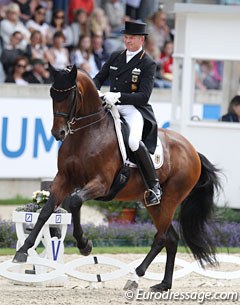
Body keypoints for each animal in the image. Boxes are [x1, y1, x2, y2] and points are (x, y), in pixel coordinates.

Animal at [12, 65, 220, 290]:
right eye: (52, 94)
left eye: (69, 95)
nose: (57, 133)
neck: (87, 134)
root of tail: (193, 151)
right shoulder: (64, 179)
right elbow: (46, 211)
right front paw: (22, 251)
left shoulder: (101, 184)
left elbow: (74, 201)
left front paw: (84, 245)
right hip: (153, 204)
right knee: (171, 238)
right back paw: (163, 284)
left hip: (170, 198)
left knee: (162, 237)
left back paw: (136, 276)